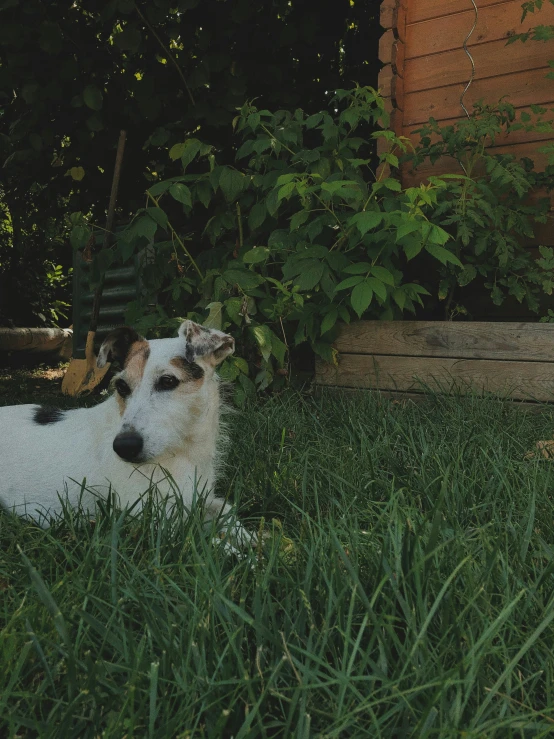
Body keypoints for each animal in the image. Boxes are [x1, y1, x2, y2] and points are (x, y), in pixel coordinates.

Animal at [0, 320, 239, 528]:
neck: (182, 451)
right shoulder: (156, 518)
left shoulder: (205, 501)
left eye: (168, 381)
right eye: (122, 386)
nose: (124, 447)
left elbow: (231, 518)